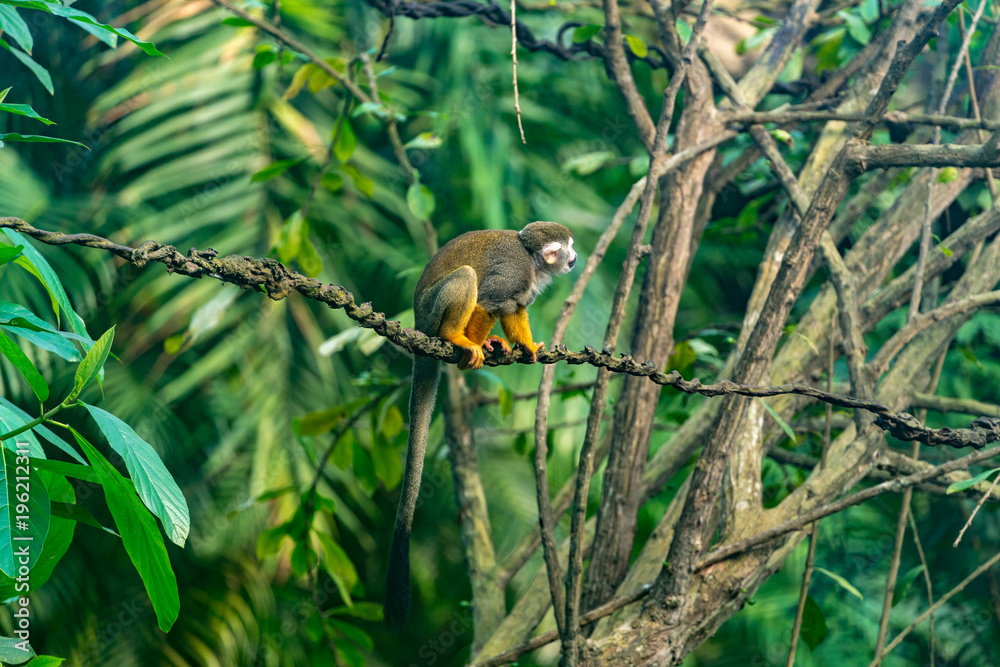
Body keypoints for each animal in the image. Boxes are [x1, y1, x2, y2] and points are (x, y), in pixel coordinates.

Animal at [386, 222, 584, 628]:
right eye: (568, 248)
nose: (575, 258)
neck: (532, 259)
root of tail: (417, 324)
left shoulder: (524, 286)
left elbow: (514, 308)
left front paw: (528, 347)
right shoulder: (515, 273)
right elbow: (490, 300)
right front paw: (469, 346)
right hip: (431, 310)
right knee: (468, 279)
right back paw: (454, 338)